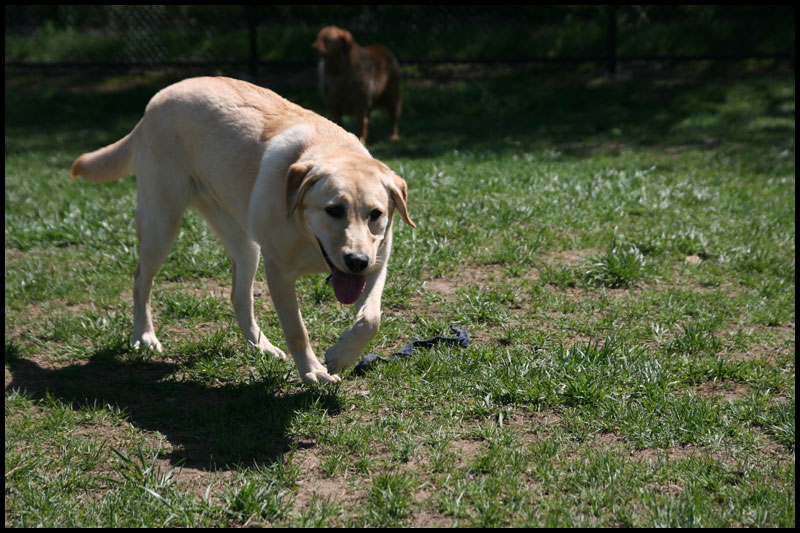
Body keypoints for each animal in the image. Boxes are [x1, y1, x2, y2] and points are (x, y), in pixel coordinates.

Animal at [71, 76, 416, 382]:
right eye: (334, 210)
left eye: (375, 214)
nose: (357, 261)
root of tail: (156, 100)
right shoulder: (279, 273)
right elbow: (297, 330)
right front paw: (313, 371)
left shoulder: (377, 265)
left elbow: (371, 319)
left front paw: (341, 355)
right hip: (161, 222)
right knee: (141, 278)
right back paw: (144, 336)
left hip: (246, 246)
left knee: (239, 297)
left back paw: (262, 346)